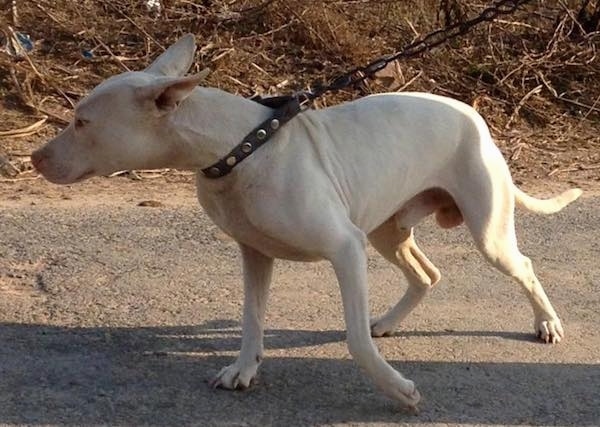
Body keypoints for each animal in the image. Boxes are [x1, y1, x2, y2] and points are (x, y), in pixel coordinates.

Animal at [31, 34, 580, 412]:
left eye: (82, 122)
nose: (34, 158)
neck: (242, 149)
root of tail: (474, 113)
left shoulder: (345, 249)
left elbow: (354, 339)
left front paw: (397, 390)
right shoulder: (255, 255)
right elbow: (252, 319)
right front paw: (243, 369)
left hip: (485, 234)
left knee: (524, 266)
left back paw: (547, 323)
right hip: (385, 230)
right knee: (427, 273)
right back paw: (389, 321)